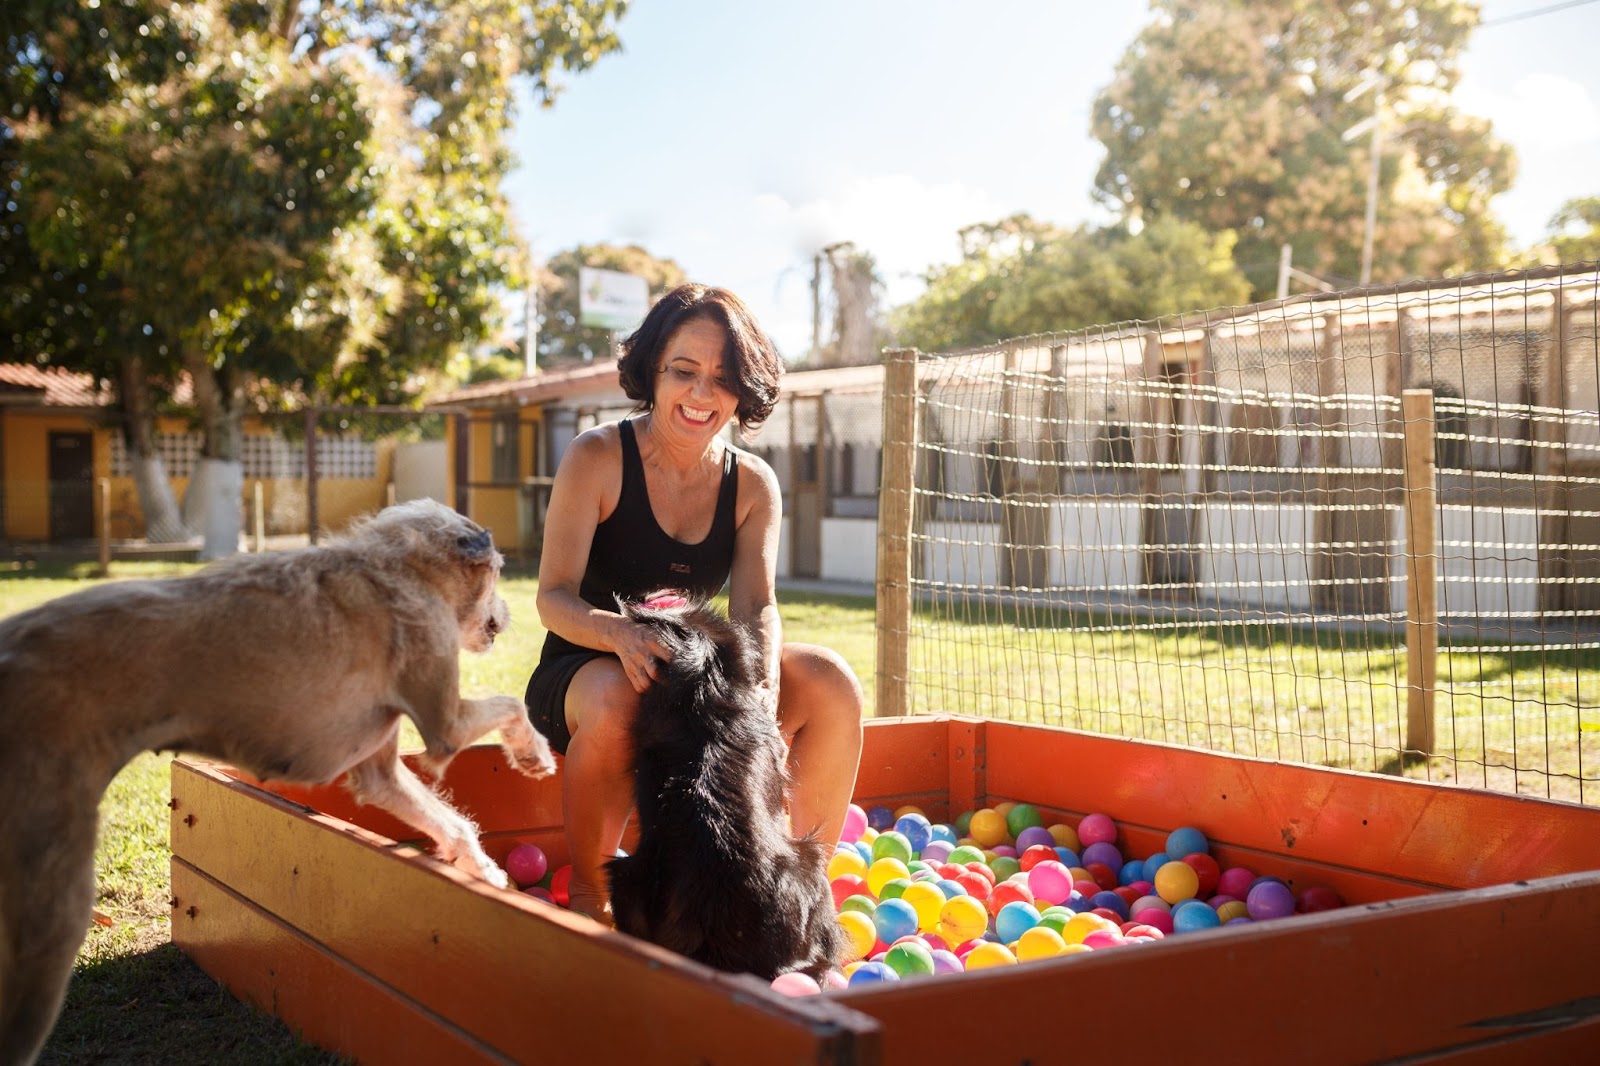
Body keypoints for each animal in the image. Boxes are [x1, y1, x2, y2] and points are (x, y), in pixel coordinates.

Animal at [0, 492, 556, 1056]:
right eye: (498, 573)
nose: (509, 615)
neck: (400, 566)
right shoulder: (445, 723)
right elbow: (511, 706)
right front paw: (534, 755)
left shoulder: (380, 774)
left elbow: (452, 821)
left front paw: (482, 871)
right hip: (54, 901)